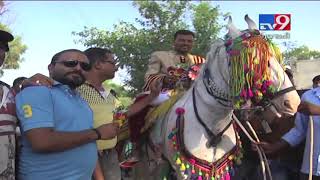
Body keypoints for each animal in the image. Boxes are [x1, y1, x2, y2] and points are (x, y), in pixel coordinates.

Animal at [132, 15, 300, 180]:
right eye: (253, 59)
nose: (293, 102)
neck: (214, 122)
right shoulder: (185, 171)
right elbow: (151, 76)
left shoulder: (218, 167)